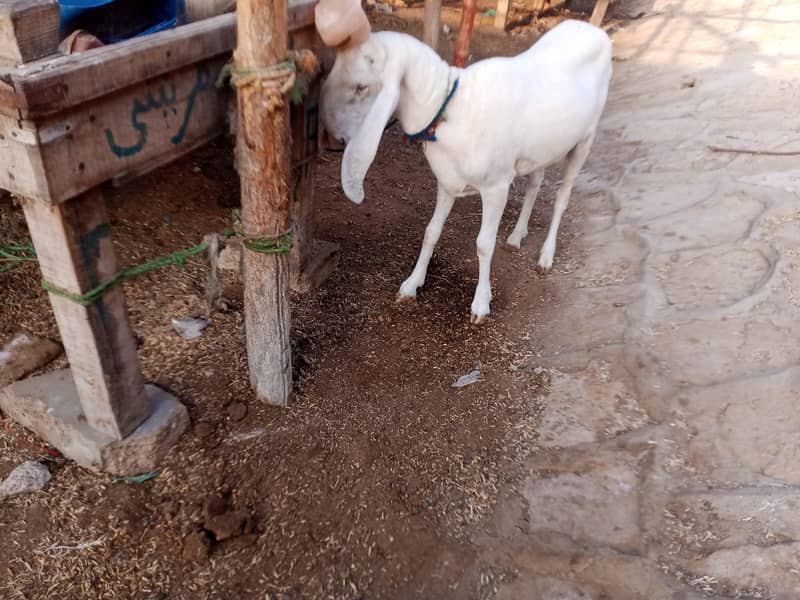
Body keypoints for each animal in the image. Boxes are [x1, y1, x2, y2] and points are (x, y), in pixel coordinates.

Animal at [320, 19, 612, 323]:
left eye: (361, 87)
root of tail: (589, 27)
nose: (332, 139)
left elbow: (484, 243)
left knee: (562, 198)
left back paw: (546, 255)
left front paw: (481, 304)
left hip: (585, 140)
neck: (452, 108)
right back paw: (517, 236)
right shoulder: (447, 182)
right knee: (536, 181)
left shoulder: (497, 186)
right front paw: (411, 285)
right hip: (538, 150)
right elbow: (431, 231)